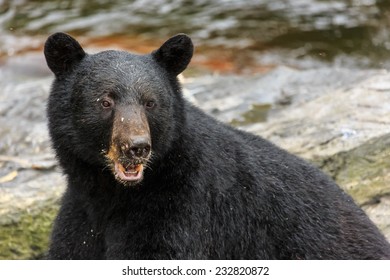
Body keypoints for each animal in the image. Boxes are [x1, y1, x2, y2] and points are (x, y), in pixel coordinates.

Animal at [44, 31, 390, 260]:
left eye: (151, 102)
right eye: (105, 101)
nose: (137, 146)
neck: (111, 195)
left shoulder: (185, 209)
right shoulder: (80, 218)